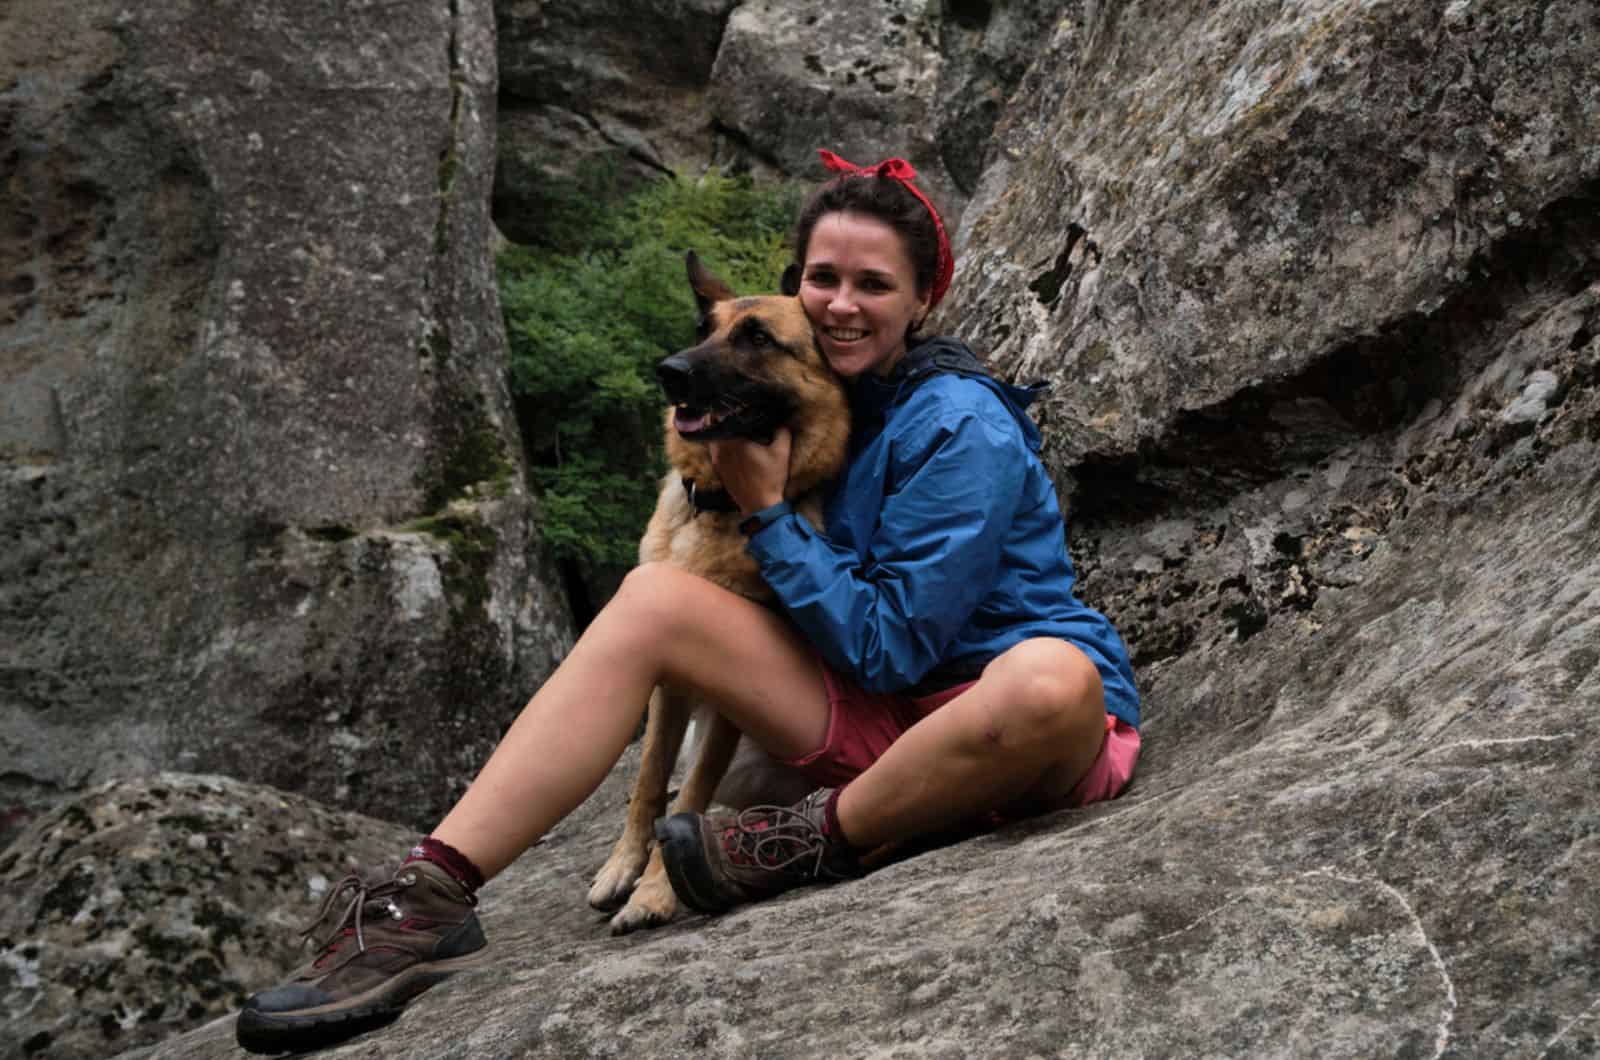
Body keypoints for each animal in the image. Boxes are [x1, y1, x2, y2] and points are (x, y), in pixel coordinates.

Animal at [588, 252, 857, 935]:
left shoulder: (725, 703)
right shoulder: (669, 683)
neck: (718, 508)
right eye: (703, 328)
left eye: (757, 338)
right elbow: (649, 780)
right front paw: (623, 867)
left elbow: (689, 790)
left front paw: (655, 892)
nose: (669, 371)